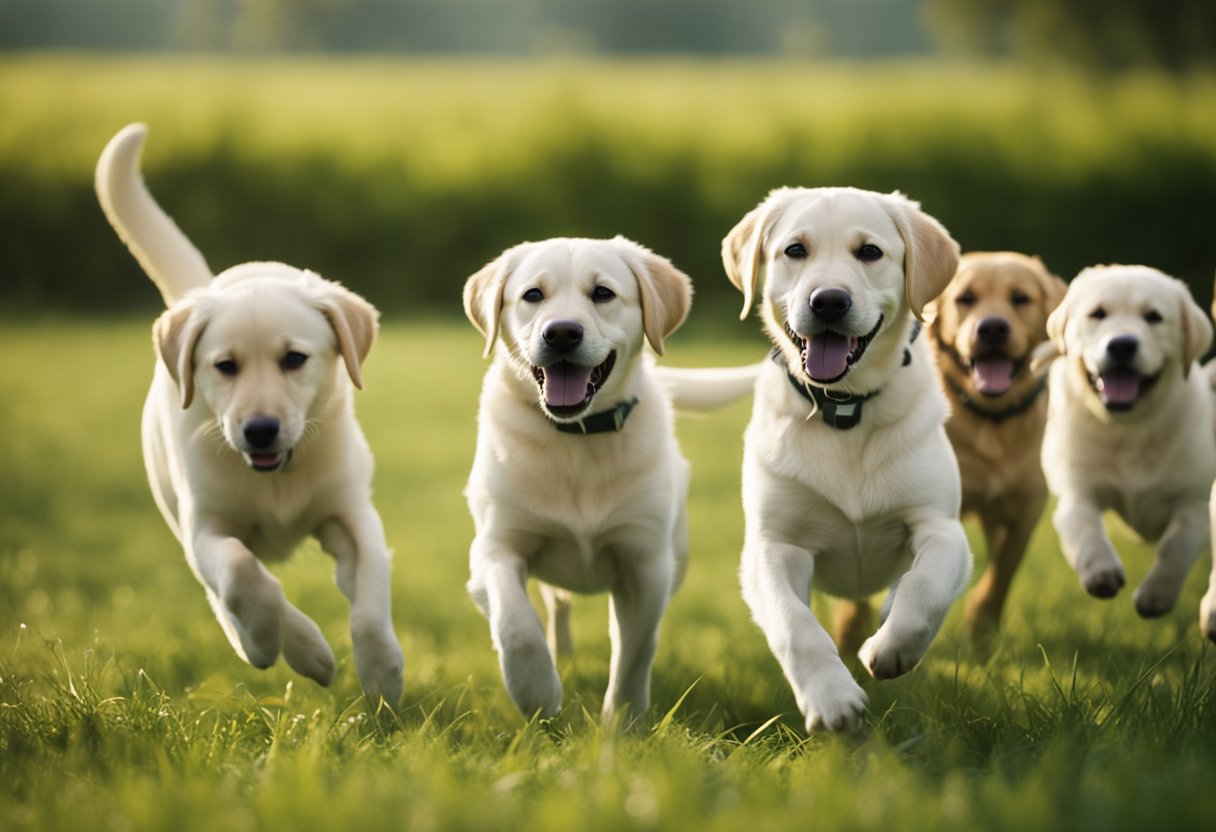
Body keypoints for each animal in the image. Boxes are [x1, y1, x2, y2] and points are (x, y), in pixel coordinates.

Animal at [93, 123, 403, 700]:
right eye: (225, 367)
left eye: (294, 359)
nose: (259, 431)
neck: (276, 476)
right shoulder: (206, 525)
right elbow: (241, 574)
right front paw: (278, 641)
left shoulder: (352, 510)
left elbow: (371, 594)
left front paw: (382, 673)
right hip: (176, 511)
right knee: (223, 590)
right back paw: (264, 643)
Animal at [459, 233, 700, 720]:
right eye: (533, 295)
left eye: (602, 293)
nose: (562, 333)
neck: (578, 437)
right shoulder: (495, 546)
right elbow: (516, 622)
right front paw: (537, 691)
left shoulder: (646, 564)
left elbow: (634, 651)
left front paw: (623, 722)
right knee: (556, 607)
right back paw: (561, 657)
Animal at [724, 184, 972, 729]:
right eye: (796, 250)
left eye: (870, 252)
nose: (829, 301)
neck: (844, 409)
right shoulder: (774, 546)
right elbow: (796, 624)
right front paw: (832, 699)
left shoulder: (942, 526)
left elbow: (924, 585)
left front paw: (891, 648)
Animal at [1036, 262, 1216, 620]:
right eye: (1097, 313)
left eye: (1154, 317)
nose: (1121, 345)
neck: (1128, 429)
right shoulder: (1076, 487)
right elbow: (1085, 526)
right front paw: (1100, 572)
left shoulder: (1196, 499)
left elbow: (1176, 543)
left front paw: (1156, 595)